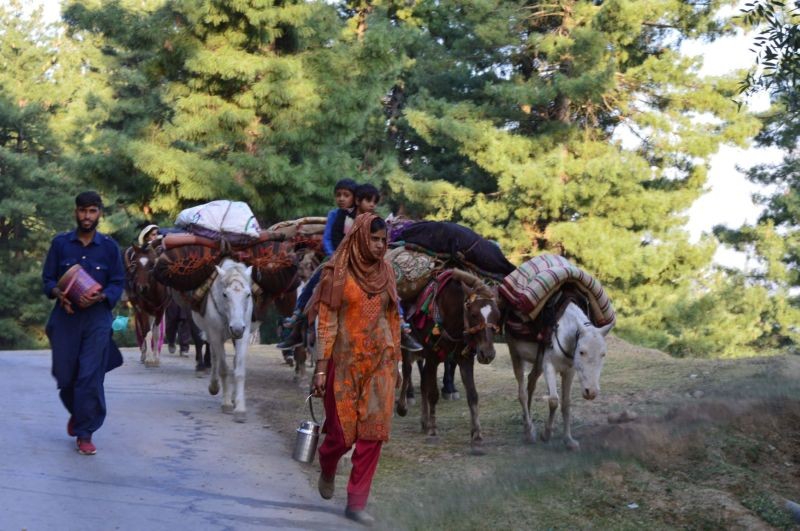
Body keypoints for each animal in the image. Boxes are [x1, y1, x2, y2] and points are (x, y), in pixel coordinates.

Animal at [192, 258, 254, 422]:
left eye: (248, 294)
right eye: (225, 294)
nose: (237, 328)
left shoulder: (244, 334)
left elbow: (239, 370)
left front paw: (240, 409)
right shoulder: (215, 334)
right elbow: (224, 369)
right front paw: (226, 404)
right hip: (210, 334)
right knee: (214, 357)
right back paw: (214, 386)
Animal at [396, 269, 501, 450]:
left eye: (497, 315)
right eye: (473, 314)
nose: (487, 354)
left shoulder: (465, 359)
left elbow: (472, 395)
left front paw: (477, 434)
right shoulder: (432, 357)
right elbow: (433, 394)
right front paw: (433, 429)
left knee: (422, 382)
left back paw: (423, 421)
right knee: (408, 371)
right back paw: (403, 406)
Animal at [503, 295, 613, 450]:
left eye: (603, 354)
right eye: (582, 352)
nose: (591, 392)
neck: (563, 333)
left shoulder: (569, 371)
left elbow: (566, 403)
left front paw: (568, 440)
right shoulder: (549, 367)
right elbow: (554, 401)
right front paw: (546, 434)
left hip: (538, 362)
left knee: (531, 381)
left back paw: (527, 422)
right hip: (515, 353)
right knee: (522, 393)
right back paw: (529, 432)